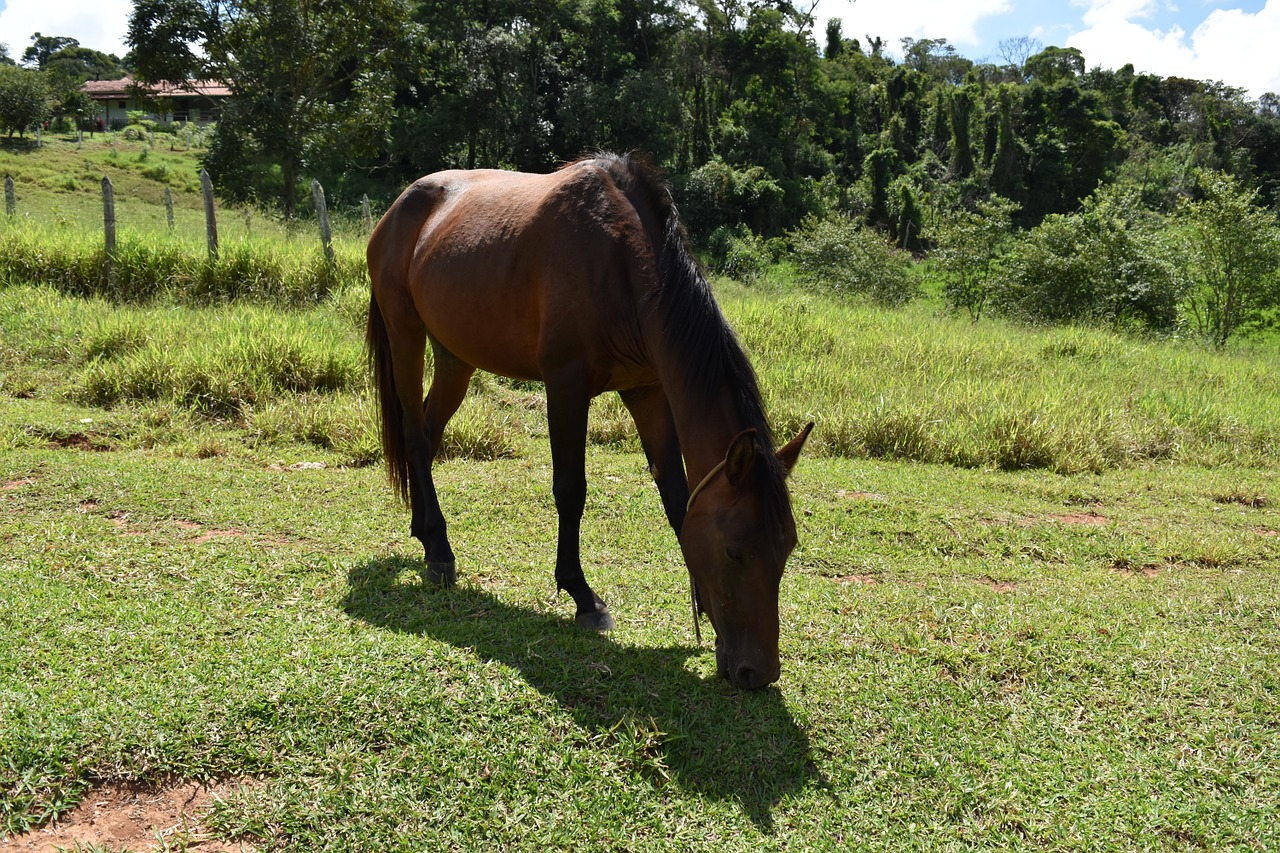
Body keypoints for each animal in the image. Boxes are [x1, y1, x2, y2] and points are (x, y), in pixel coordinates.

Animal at [366, 151, 814, 686]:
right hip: (405, 333)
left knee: (430, 437)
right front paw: (581, 595)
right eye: (735, 551)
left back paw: (425, 531)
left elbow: (677, 499)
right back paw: (438, 550)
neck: (621, 261)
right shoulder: (566, 386)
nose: (757, 673)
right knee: (415, 436)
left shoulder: (648, 393)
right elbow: (570, 490)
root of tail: (399, 208)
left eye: (787, 548)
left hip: (456, 357)